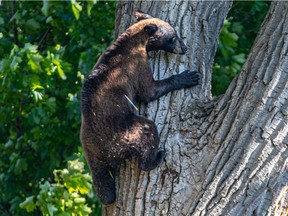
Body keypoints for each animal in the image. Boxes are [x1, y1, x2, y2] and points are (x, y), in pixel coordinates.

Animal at [80, 11, 199, 205]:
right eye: (173, 37)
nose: (184, 47)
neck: (137, 42)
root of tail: (104, 151)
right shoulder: (136, 65)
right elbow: (149, 90)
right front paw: (189, 76)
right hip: (126, 131)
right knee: (147, 132)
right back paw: (156, 156)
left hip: (91, 153)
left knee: (102, 182)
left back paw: (107, 195)